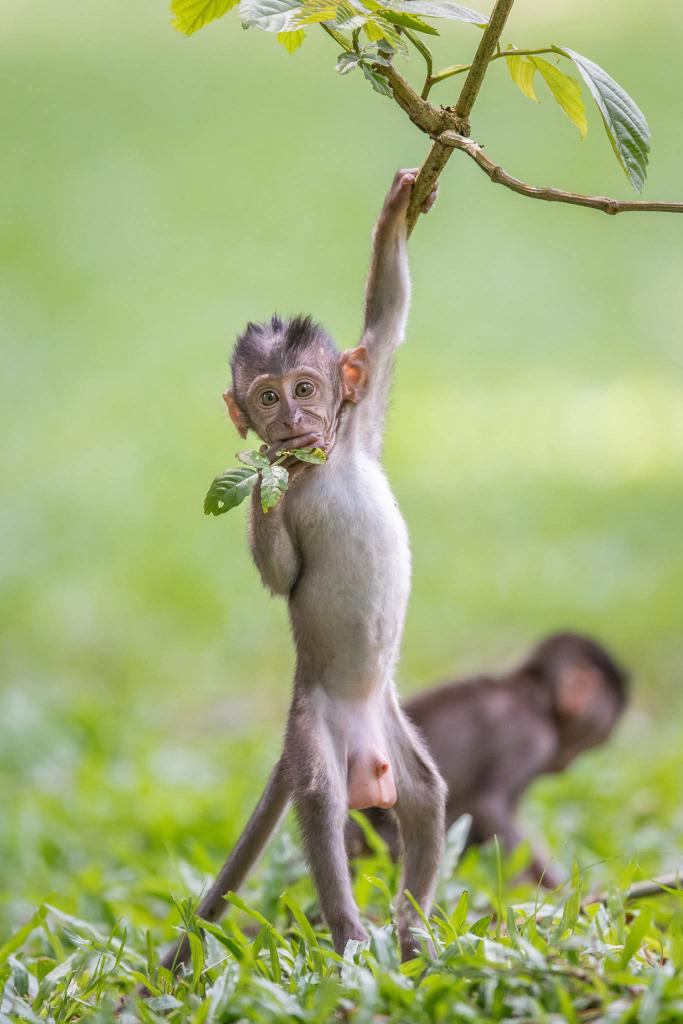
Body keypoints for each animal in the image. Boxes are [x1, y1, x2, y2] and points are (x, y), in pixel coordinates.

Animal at [162, 170, 445, 971]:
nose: (290, 422)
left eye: (306, 387)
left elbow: (386, 322)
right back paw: (352, 931)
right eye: (266, 396)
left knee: (426, 795)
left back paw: (411, 928)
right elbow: (282, 576)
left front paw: (398, 208)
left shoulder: (360, 418)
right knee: (319, 798)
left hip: (387, 721)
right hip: (310, 723)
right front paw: (263, 477)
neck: (320, 462)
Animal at [347, 632, 628, 888]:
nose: (565, 766)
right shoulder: (530, 736)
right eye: (594, 741)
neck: (532, 695)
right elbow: (490, 808)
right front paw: (557, 889)